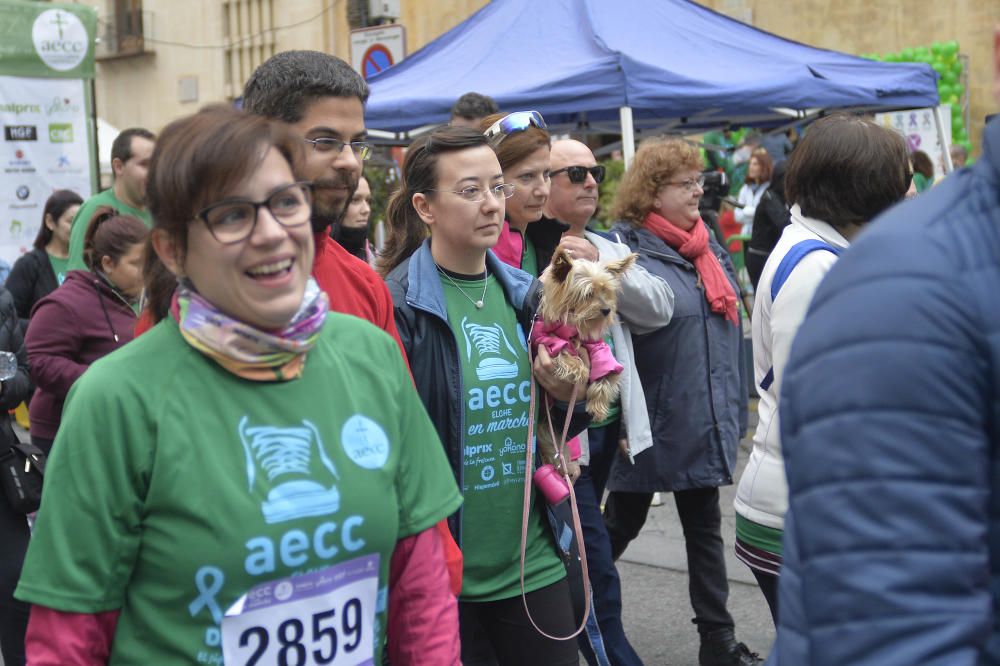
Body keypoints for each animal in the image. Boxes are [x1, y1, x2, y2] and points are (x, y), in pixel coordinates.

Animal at [532, 249, 640, 472]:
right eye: (587, 294)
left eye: (605, 291)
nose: (607, 310)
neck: (575, 327)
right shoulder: (545, 340)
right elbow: (564, 352)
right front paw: (579, 368)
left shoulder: (599, 349)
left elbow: (606, 376)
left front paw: (597, 407)